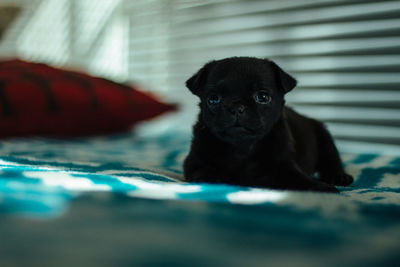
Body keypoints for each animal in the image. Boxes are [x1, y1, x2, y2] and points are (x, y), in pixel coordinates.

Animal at [184, 57, 354, 194]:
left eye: (262, 97)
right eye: (213, 99)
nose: (236, 107)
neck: (242, 148)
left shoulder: (285, 166)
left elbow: (299, 180)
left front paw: (321, 187)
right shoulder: (194, 163)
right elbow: (205, 172)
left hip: (323, 136)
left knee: (332, 158)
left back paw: (339, 176)